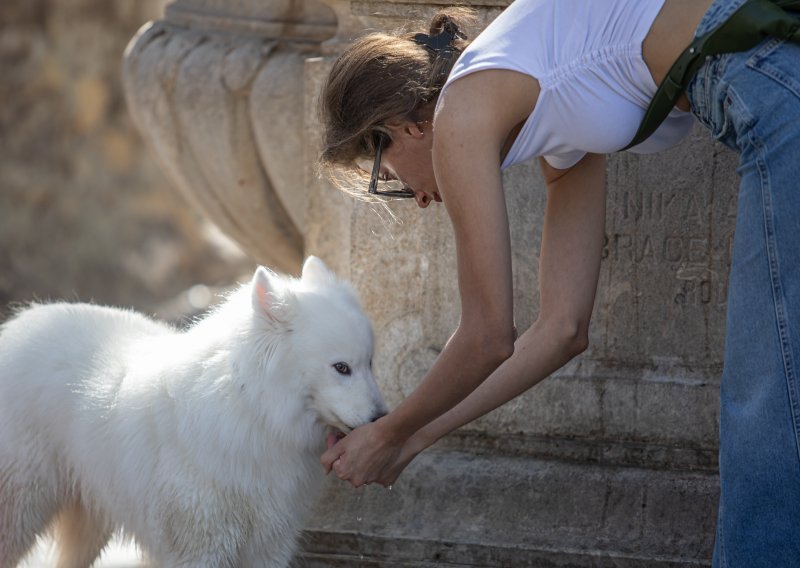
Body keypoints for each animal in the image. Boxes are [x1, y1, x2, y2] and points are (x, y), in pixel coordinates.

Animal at [0, 258, 388, 568]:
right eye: (341, 368)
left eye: (369, 363)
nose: (381, 421)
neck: (251, 414)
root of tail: (18, 326)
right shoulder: (203, 546)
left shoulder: (268, 544)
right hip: (19, 513)